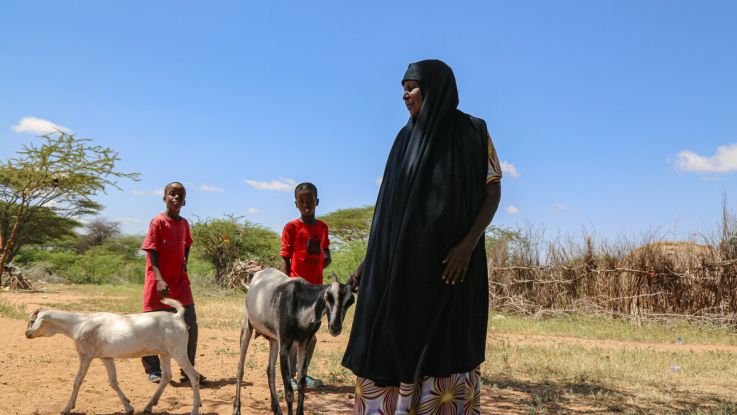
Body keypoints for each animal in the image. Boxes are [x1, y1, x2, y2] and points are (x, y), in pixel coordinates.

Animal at [25, 298, 201, 414]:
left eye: (33, 320)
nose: (27, 334)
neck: (79, 323)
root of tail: (176, 317)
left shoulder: (86, 356)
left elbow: (78, 380)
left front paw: (67, 408)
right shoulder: (106, 358)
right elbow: (113, 382)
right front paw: (128, 407)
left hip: (178, 351)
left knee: (193, 376)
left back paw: (195, 408)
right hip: (164, 353)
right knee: (166, 376)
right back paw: (148, 406)